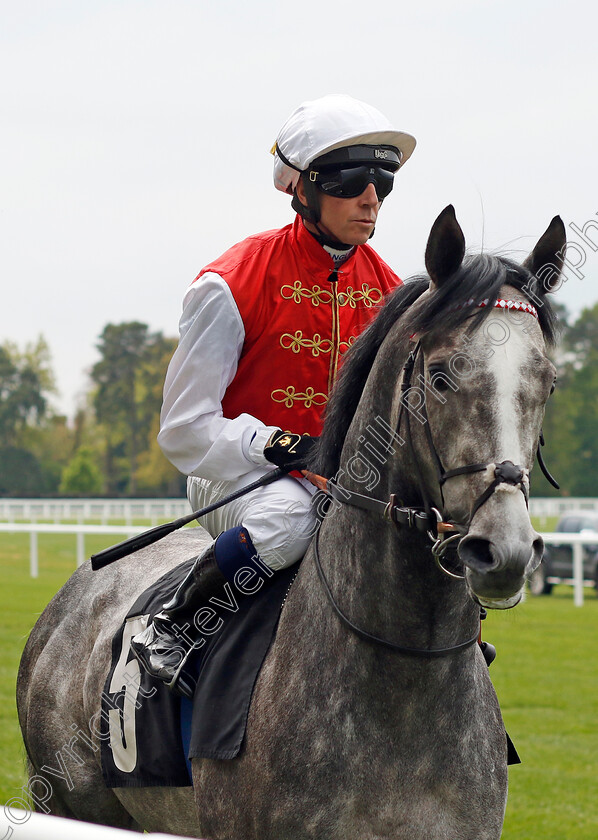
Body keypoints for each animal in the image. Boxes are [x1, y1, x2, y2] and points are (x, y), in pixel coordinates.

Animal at [15, 205, 568, 840]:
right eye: (440, 376)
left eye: (549, 380)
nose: (506, 550)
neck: (405, 677)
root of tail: (66, 601)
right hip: (75, 804)